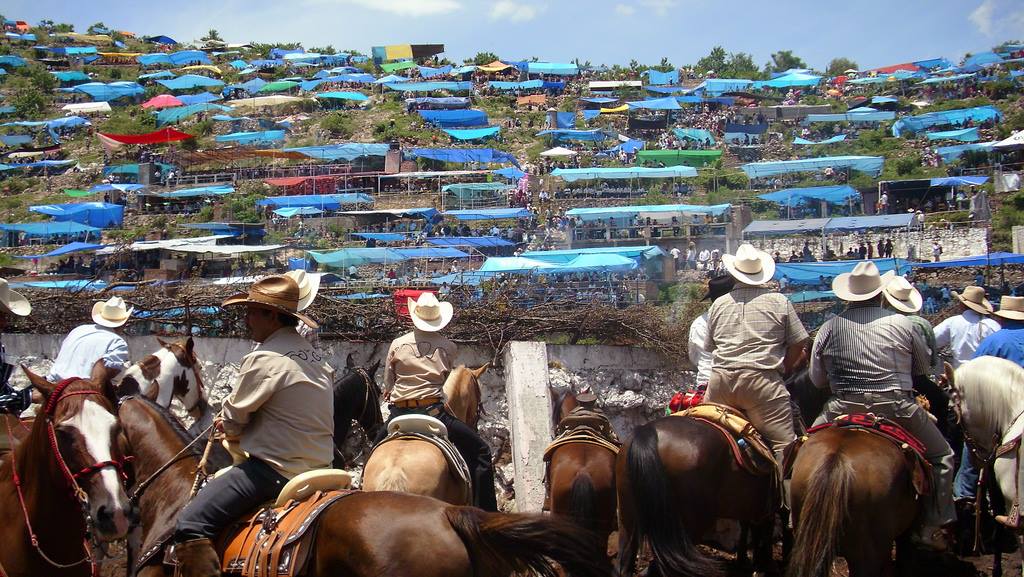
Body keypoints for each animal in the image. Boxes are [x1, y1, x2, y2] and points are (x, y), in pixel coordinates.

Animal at [614, 416, 774, 577]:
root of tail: (648, 431)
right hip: (689, 528)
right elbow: (763, 533)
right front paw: (760, 566)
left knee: (625, 564)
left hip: (628, 519)